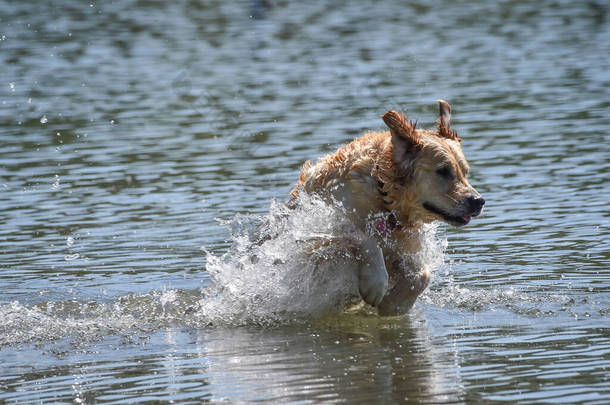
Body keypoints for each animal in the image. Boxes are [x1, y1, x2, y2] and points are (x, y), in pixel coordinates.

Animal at [288, 99, 482, 314]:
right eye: (443, 171)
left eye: (465, 172)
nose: (478, 201)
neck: (384, 195)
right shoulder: (318, 232)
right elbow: (365, 240)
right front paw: (376, 285)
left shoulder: (406, 246)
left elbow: (423, 275)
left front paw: (394, 304)